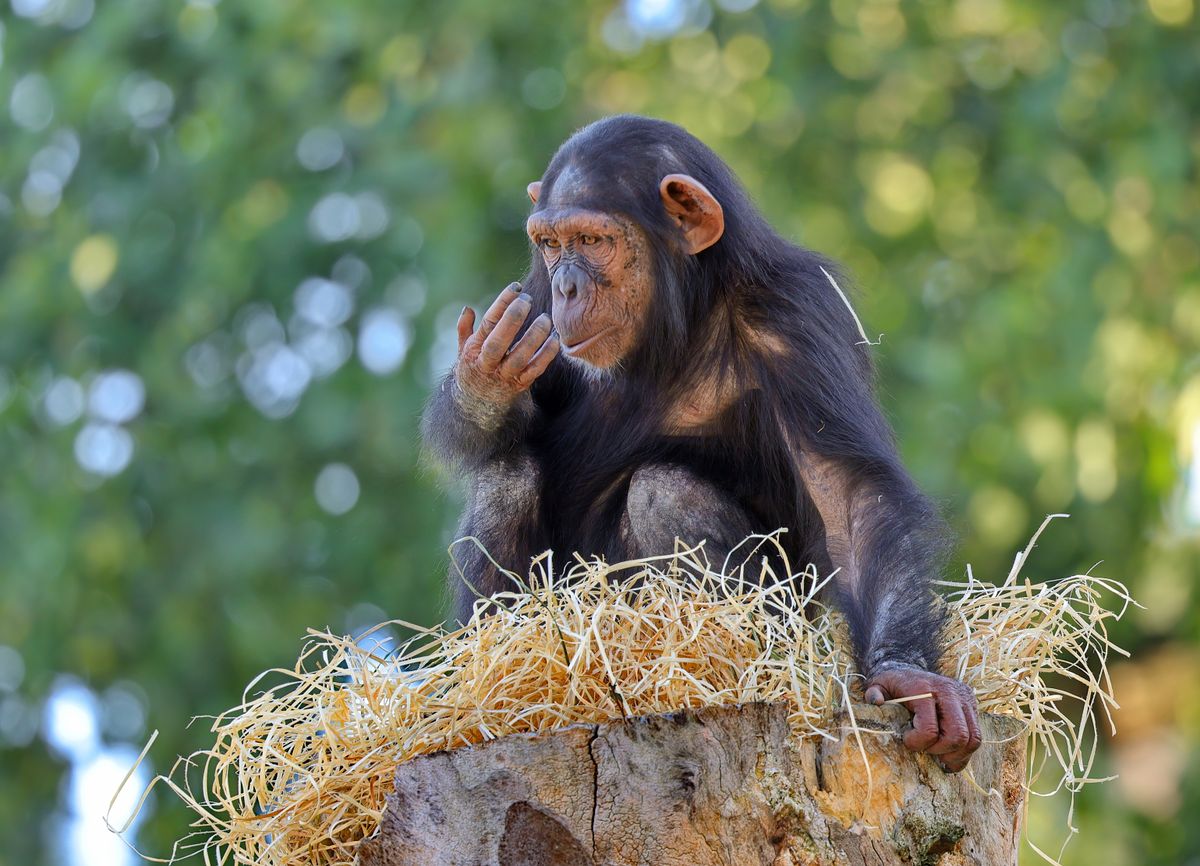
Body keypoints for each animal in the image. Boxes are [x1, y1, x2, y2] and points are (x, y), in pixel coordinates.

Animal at [422, 115, 980, 772]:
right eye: (551, 243)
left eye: (592, 239)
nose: (566, 287)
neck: (685, 310)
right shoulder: (529, 294)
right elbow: (510, 431)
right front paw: (485, 377)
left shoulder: (798, 313)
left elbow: (847, 490)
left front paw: (909, 678)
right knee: (506, 475)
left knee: (664, 491)